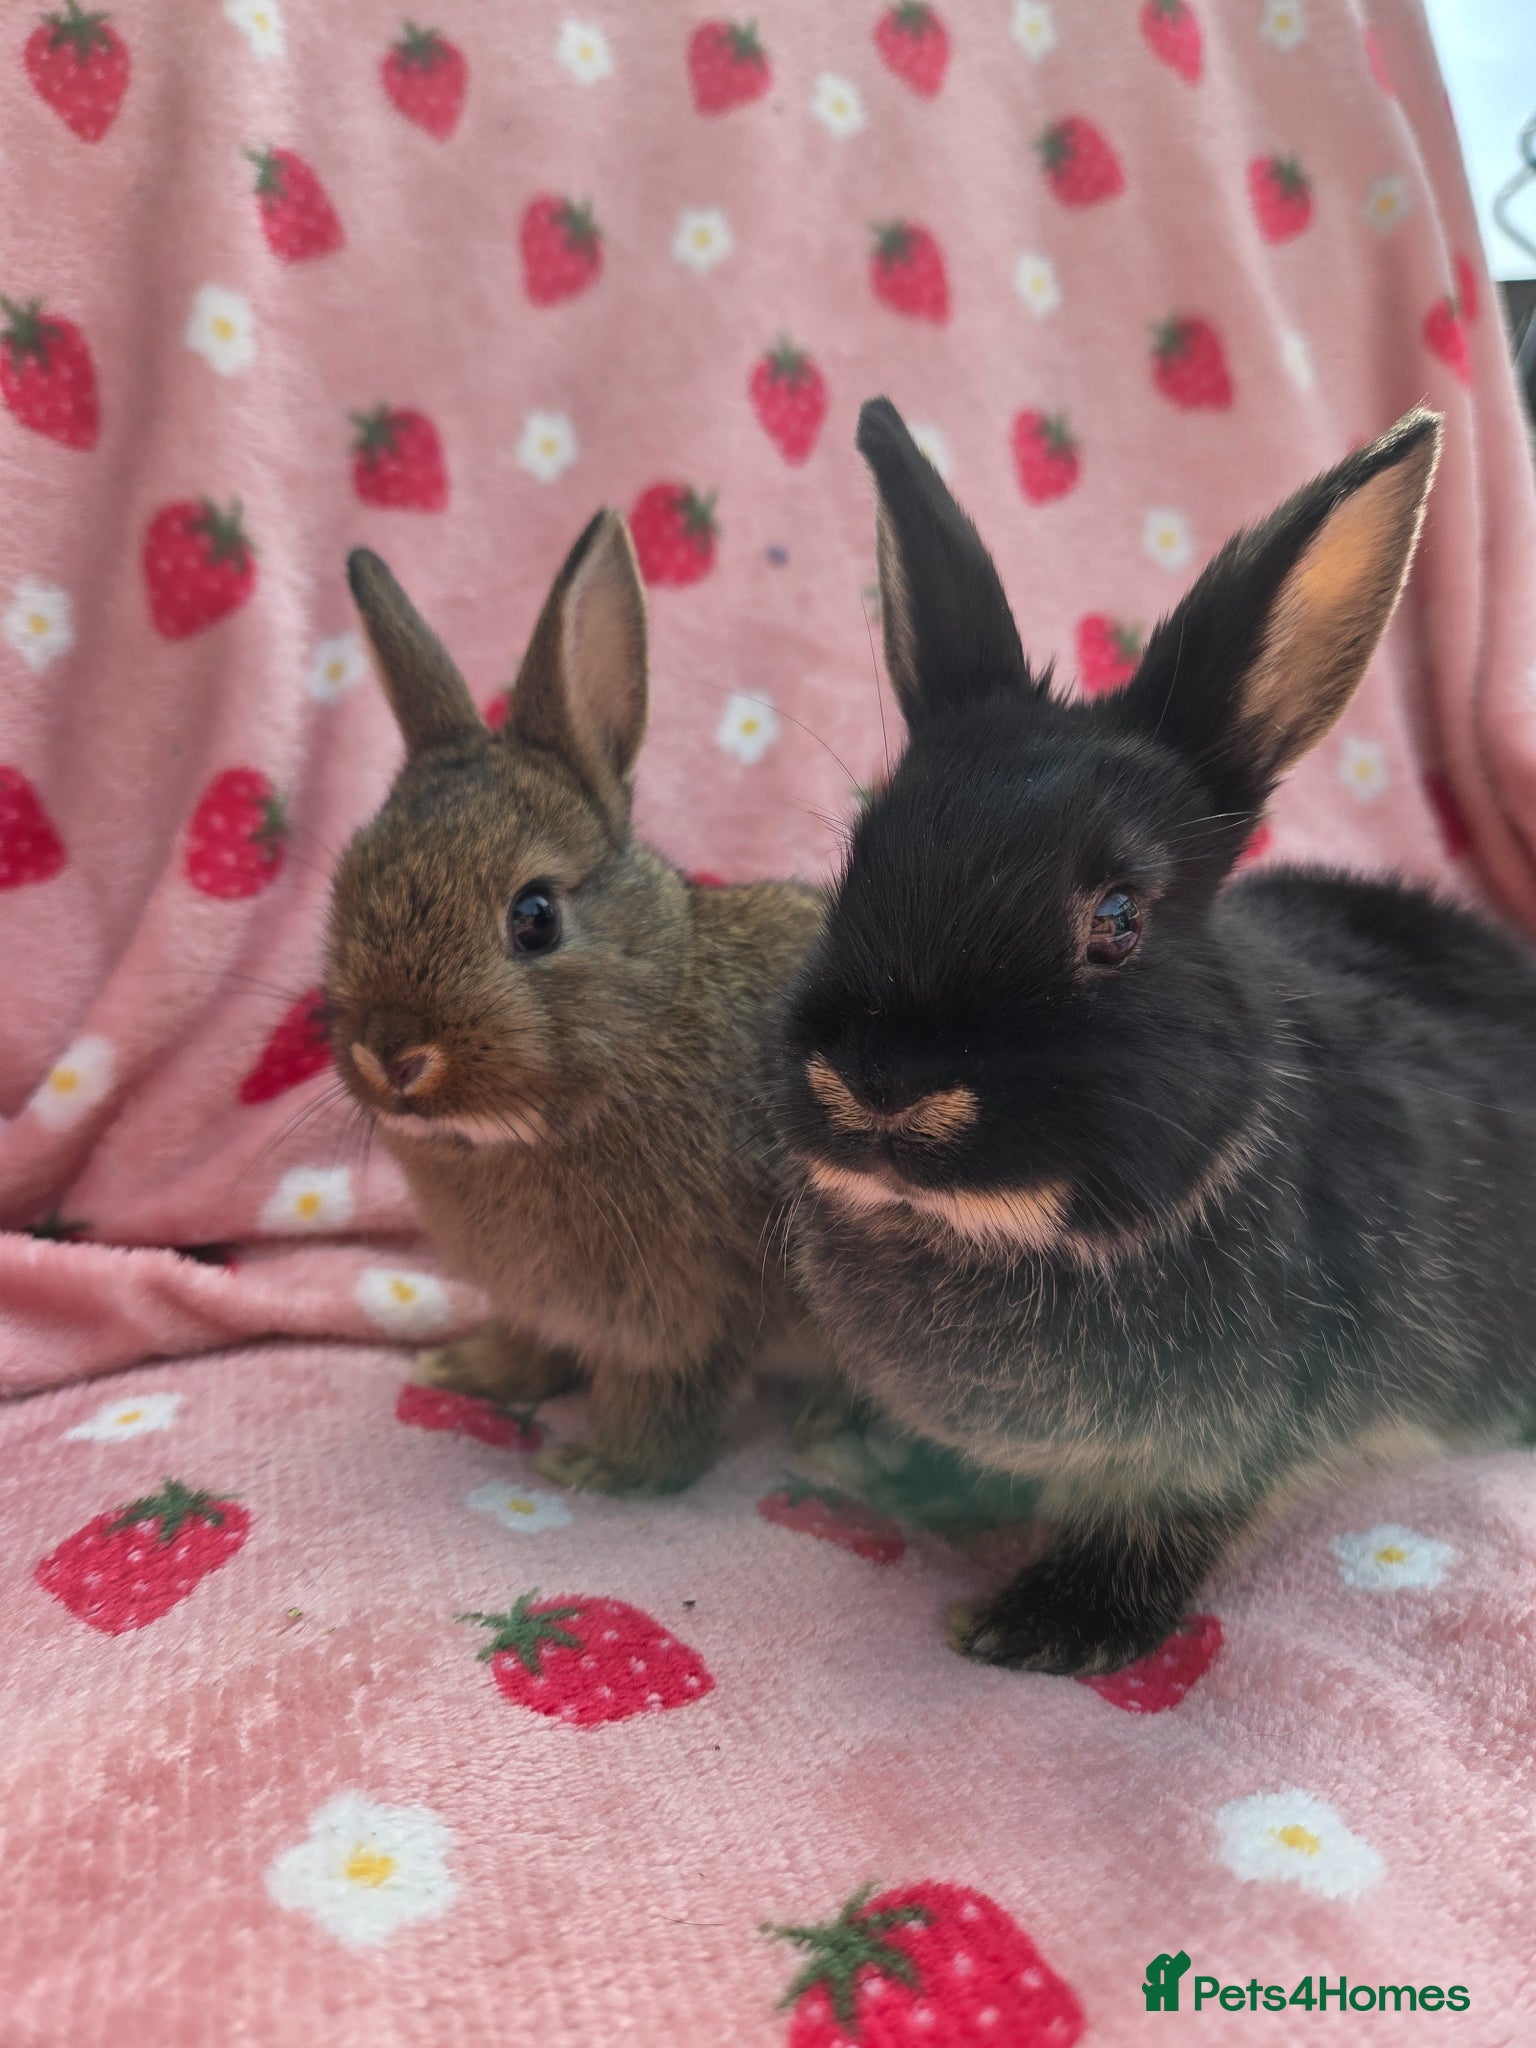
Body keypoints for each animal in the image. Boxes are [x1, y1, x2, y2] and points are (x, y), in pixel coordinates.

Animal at [325, 510, 827, 1494]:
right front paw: (468, 1370)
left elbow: (671, 1397)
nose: (391, 1052)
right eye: (348, 884)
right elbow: (531, 1341)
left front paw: (600, 1467)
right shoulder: (544, 1299)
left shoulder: (692, 1305)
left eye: (535, 917)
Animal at [771, 395, 1536, 1675]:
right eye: (857, 861)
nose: (879, 1083)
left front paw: (1044, 1626)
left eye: (1118, 920)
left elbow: (1160, 1519)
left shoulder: (1228, 1437)